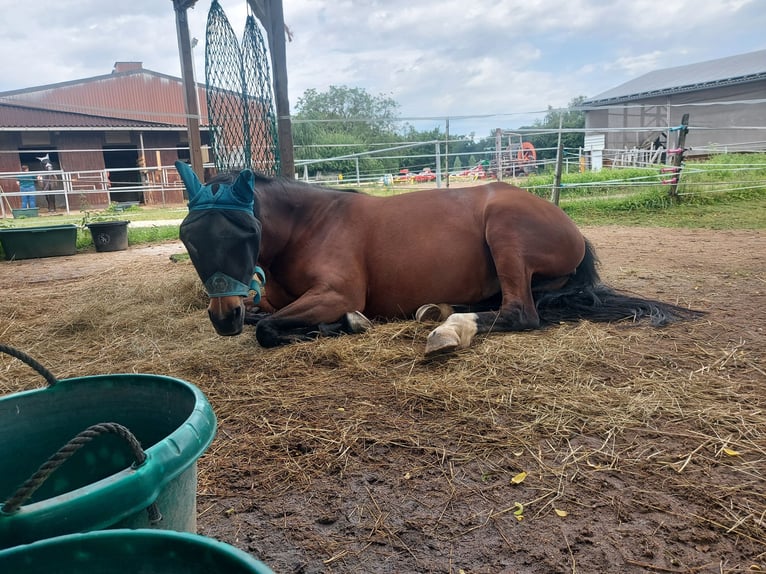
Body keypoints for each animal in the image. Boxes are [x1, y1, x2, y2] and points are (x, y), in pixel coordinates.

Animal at [177, 162, 704, 358]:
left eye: (246, 234)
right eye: (189, 239)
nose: (223, 317)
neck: (310, 225)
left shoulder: (336, 293)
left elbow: (268, 329)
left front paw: (343, 325)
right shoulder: (268, 299)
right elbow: (263, 318)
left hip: (505, 232)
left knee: (520, 314)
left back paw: (449, 329)